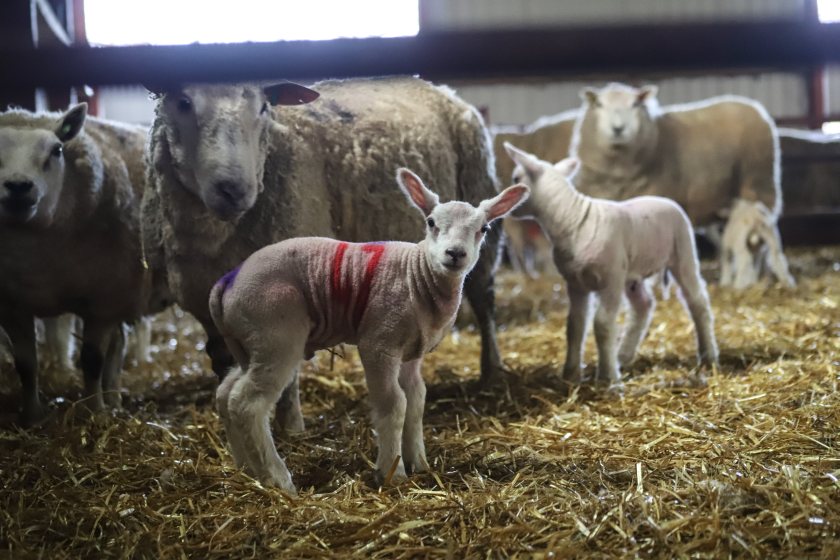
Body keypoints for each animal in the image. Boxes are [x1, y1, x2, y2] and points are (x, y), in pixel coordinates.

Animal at [0, 104, 171, 424]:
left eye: (56, 150)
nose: (18, 186)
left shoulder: (104, 302)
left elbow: (91, 361)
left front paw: (94, 412)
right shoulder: (13, 307)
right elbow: (26, 365)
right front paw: (32, 416)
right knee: (118, 347)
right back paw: (114, 399)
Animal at [209, 168, 524, 492]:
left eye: (484, 228)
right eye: (431, 222)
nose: (455, 253)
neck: (417, 274)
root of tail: (228, 281)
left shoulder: (412, 352)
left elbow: (416, 400)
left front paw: (419, 464)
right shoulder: (379, 343)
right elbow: (394, 403)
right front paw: (392, 473)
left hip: (248, 343)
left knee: (225, 393)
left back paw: (244, 466)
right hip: (275, 334)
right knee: (247, 403)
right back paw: (278, 479)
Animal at [502, 142, 720, 392]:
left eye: (516, 177)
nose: (510, 209)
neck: (571, 219)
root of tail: (666, 199)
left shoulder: (610, 280)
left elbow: (602, 325)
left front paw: (608, 377)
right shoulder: (575, 283)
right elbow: (575, 326)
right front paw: (571, 374)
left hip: (682, 251)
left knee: (697, 301)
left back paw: (708, 355)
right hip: (632, 274)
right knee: (643, 305)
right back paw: (624, 355)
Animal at [572, 83, 796, 290]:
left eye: (635, 104)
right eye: (599, 104)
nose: (618, 129)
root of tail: (752, 105)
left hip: (759, 184)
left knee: (756, 247)